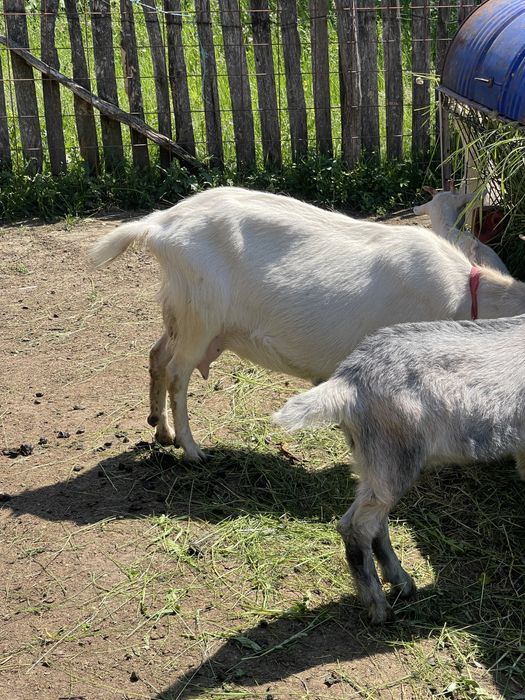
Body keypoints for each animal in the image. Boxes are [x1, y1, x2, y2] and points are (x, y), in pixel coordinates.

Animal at [90, 186, 525, 461]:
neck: (466, 295)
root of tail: (158, 225)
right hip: (201, 315)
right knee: (179, 374)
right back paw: (192, 450)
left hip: (179, 311)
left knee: (158, 356)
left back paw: (160, 430)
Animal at [274, 314, 525, 623]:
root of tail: (348, 381)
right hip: (394, 455)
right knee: (358, 526)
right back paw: (379, 607)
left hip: (374, 461)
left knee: (375, 521)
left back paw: (401, 583)